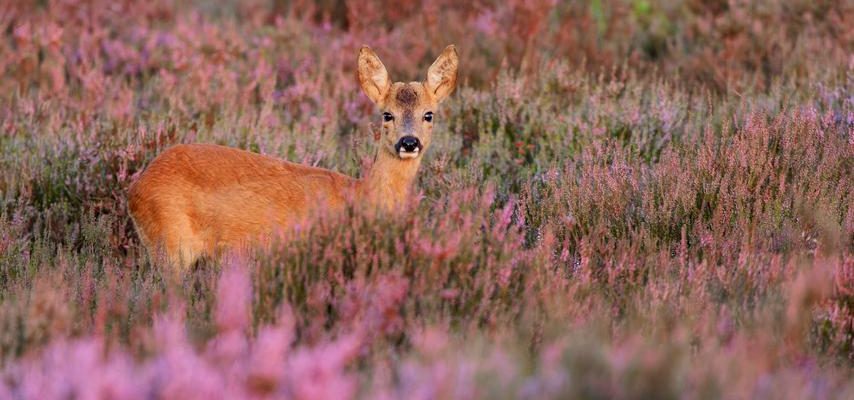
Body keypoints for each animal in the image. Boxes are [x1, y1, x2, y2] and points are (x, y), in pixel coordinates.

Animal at [128, 45, 462, 270]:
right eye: (387, 114)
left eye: (429, 114)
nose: (409, 142)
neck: (361, 194)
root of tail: (135, 188)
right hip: (170, 246)